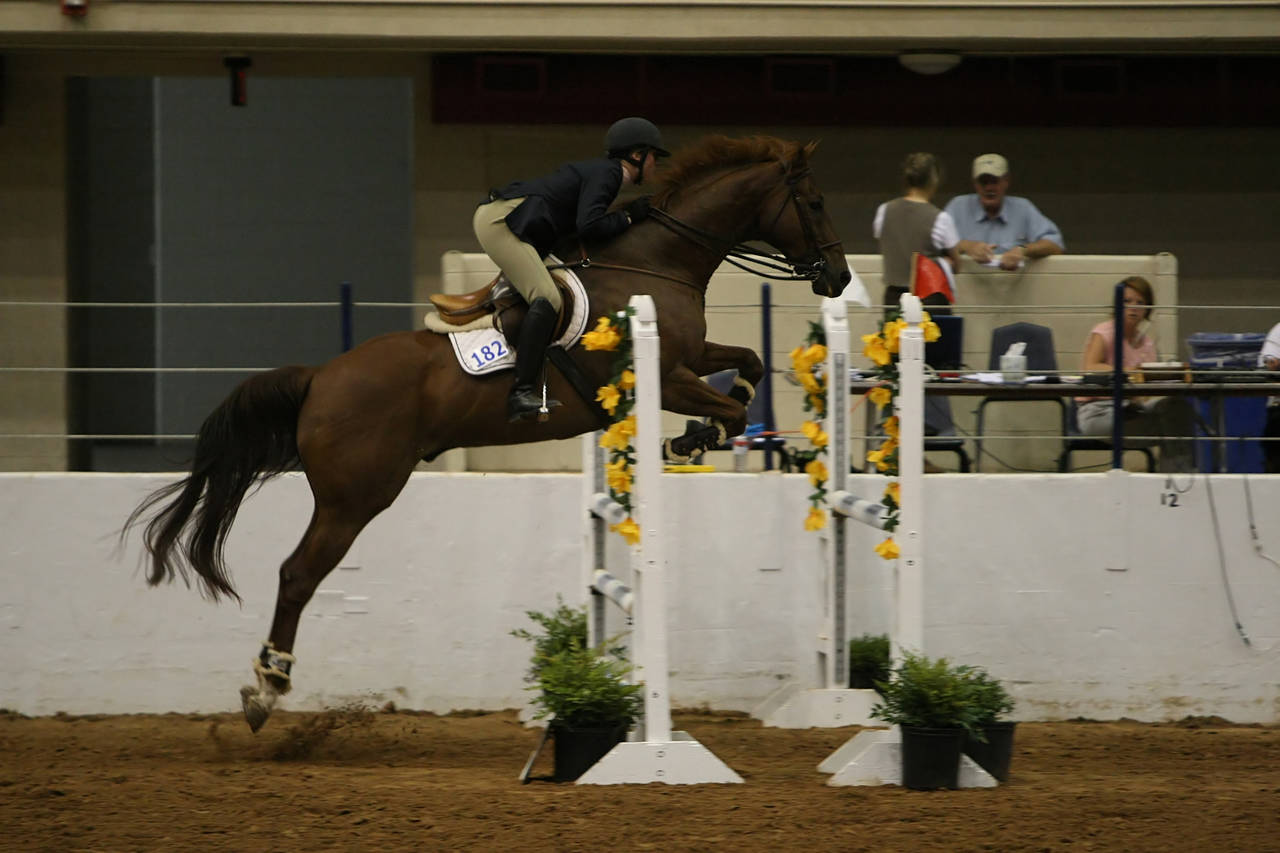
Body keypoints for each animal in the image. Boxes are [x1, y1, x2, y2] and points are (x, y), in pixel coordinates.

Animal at [124, 129, 855, 727]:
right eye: (816, 202)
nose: (841, 276)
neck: (658, 259)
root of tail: (321, 377)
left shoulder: (692, 355)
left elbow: (748, 364)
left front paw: (711, 429)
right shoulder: (664, 372)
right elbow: (726, 407)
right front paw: (690, 437)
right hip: (356, 496)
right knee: (299, 573)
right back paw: (267, 687)